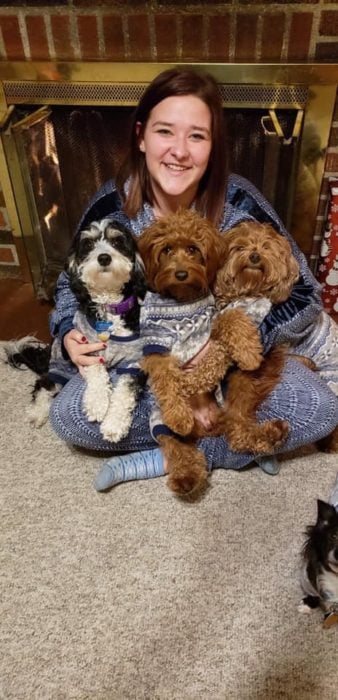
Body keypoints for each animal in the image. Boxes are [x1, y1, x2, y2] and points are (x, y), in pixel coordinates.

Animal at [6, 216, 147, 440]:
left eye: (117, 242)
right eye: (88, 244)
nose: (104, 257)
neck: (108, 305)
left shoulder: (135, 362)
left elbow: (124, 392)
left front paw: (114, 424)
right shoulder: (87, 350)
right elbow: (97, 373)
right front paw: (97, 404)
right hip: (61, 365)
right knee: (43, 384)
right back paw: (37, 413)